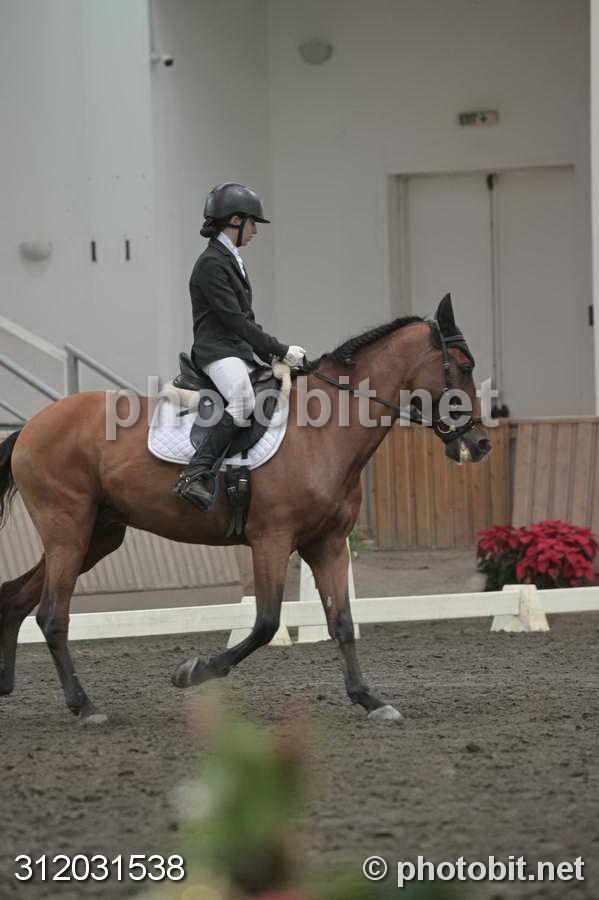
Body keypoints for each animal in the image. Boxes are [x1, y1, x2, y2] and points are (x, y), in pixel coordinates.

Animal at [0, 294, 489, 724]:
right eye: (464, 368)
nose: (481, 444)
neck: (325, 432)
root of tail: (32, 426)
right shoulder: (271, 539)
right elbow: (266, 623)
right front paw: (193, 672)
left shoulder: (328, 544)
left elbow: (343, 623)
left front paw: (370, 700)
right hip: (68, 530)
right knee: (51, 615)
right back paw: (85, 706)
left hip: (97, 536)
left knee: (18, 599)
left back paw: (11, 686)